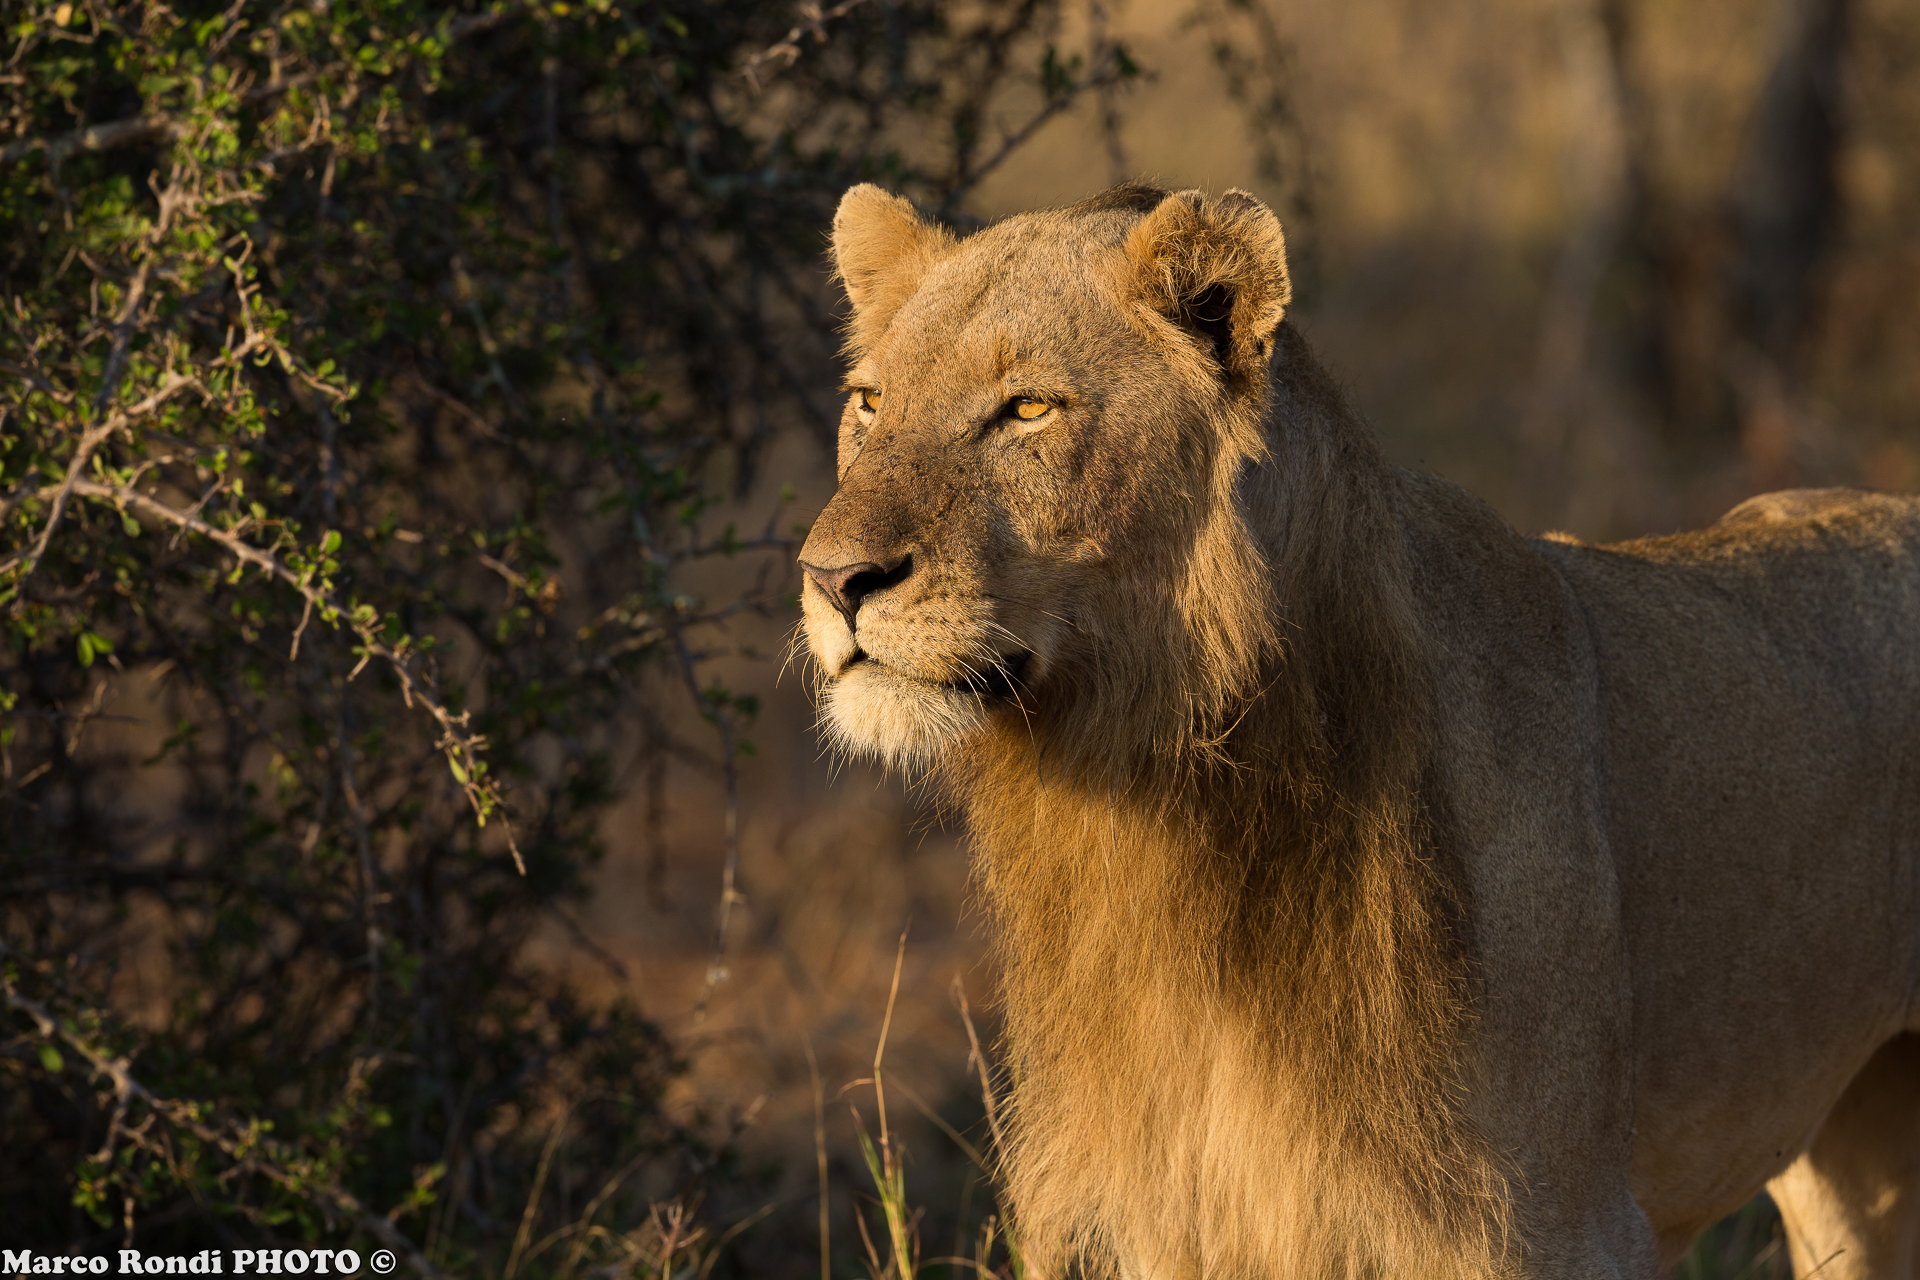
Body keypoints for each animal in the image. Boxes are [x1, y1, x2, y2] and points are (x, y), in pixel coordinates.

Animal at [796, 181, 1920, 1279]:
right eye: (870, 403)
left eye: (1027, 408)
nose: (832, 579)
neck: (1159, 789)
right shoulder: (1188, 1206)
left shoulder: (1557, 1223)